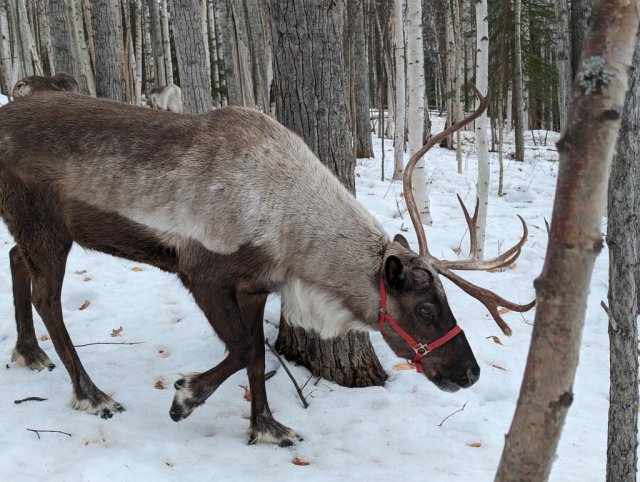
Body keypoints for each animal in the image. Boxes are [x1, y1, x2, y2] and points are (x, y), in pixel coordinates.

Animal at [0, 90, 533, 447]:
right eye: (425, 309)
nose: (470, 373)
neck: (291, 234)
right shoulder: (203, 273)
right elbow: (242, 349)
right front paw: (184, 398)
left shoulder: (256, 287)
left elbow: (256, 355)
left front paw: (266, 427)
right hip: (46, 227)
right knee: (48, 299)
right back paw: (92, 394)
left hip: (34, 229)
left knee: (15, 260)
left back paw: (29, 353)